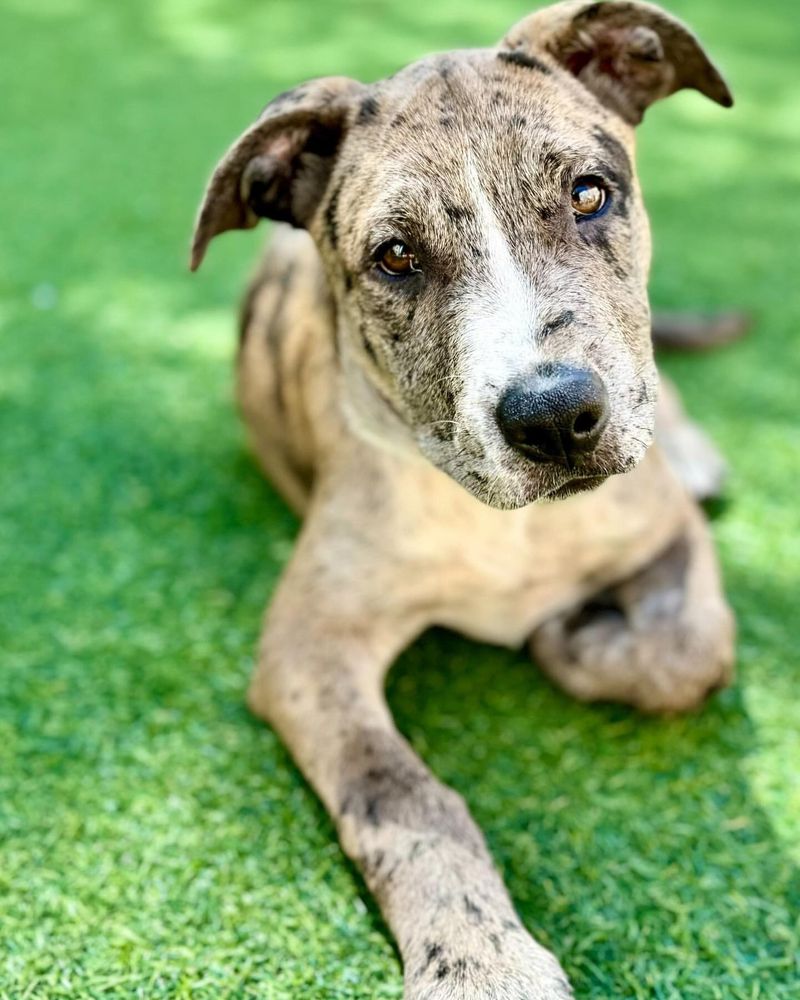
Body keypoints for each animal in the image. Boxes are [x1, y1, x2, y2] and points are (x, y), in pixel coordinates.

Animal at [189, 3, 736, 996]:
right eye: (396, 257)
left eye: (589, 194)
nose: (555, 417)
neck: (509, 529)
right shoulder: (307, 652)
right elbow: (403, 801)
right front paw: (482, 961)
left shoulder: (665, 527)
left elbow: (692, 650)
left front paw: (579, 638)